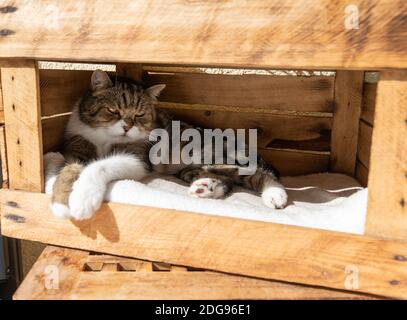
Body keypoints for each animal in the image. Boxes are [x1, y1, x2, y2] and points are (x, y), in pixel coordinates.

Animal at [49, 70, 288, 220]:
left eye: (139, 115)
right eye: (113, 110)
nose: (126, 127)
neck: (105, 138)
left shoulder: (136, 158)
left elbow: (99, 166)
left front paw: (83, 200)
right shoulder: (77, 147)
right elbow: (68, 170)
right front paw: (61, 204)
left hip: (207, 153)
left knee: (260, 174)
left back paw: (276, 195)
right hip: (190, 168)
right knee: (228, 180)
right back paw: (205, 188)